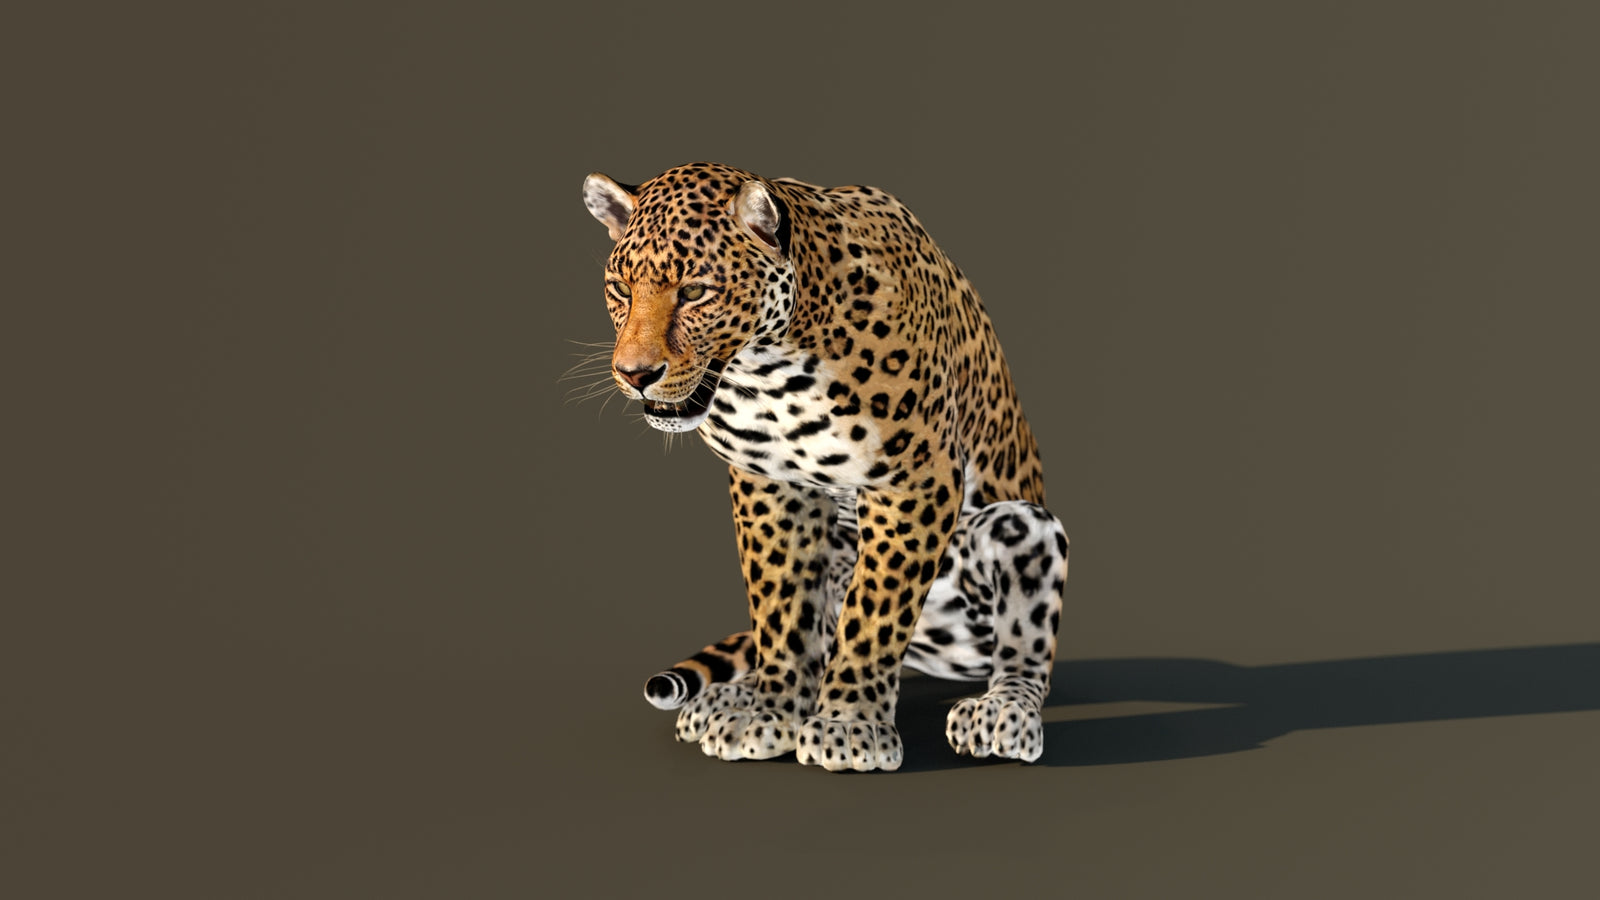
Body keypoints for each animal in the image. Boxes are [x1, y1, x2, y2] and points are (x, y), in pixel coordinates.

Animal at [580, 162, 1068, 772]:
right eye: (621, 289)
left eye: (694, 291)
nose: (634, 374)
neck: (770, 370)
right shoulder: (770, 485)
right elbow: (781, 607)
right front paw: (771, 711)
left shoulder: (915, 480)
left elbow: (875, 610)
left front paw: (848, 724)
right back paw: (727, 699)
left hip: (1022, 526)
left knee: (1024, 647)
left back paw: (1003, 713)